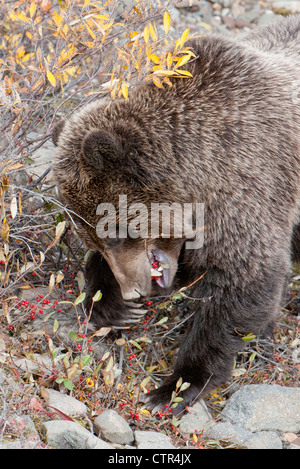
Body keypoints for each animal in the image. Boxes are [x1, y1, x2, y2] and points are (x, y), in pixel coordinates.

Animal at [52, 16, 300, 412]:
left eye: (116, 232)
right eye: (93, 238)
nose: (133, 291)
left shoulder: (247, 189)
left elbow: (242, 282)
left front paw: (175, 386)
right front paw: (111, 306)